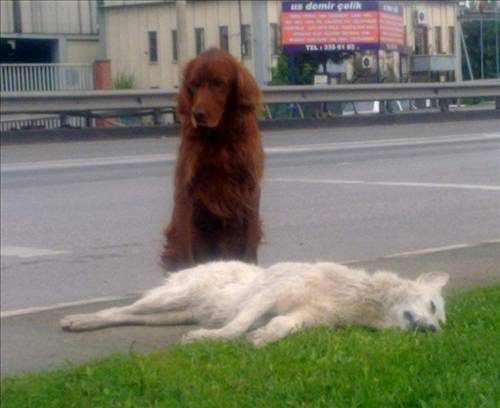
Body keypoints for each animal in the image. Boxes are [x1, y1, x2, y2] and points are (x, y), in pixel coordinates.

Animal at [162, 48, 266, 270]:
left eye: (218, 82)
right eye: (193, 84)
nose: (198, 114)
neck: (220, 136)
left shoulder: (250, 186)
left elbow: (250, 240)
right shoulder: (186, 188)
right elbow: (185, 244)